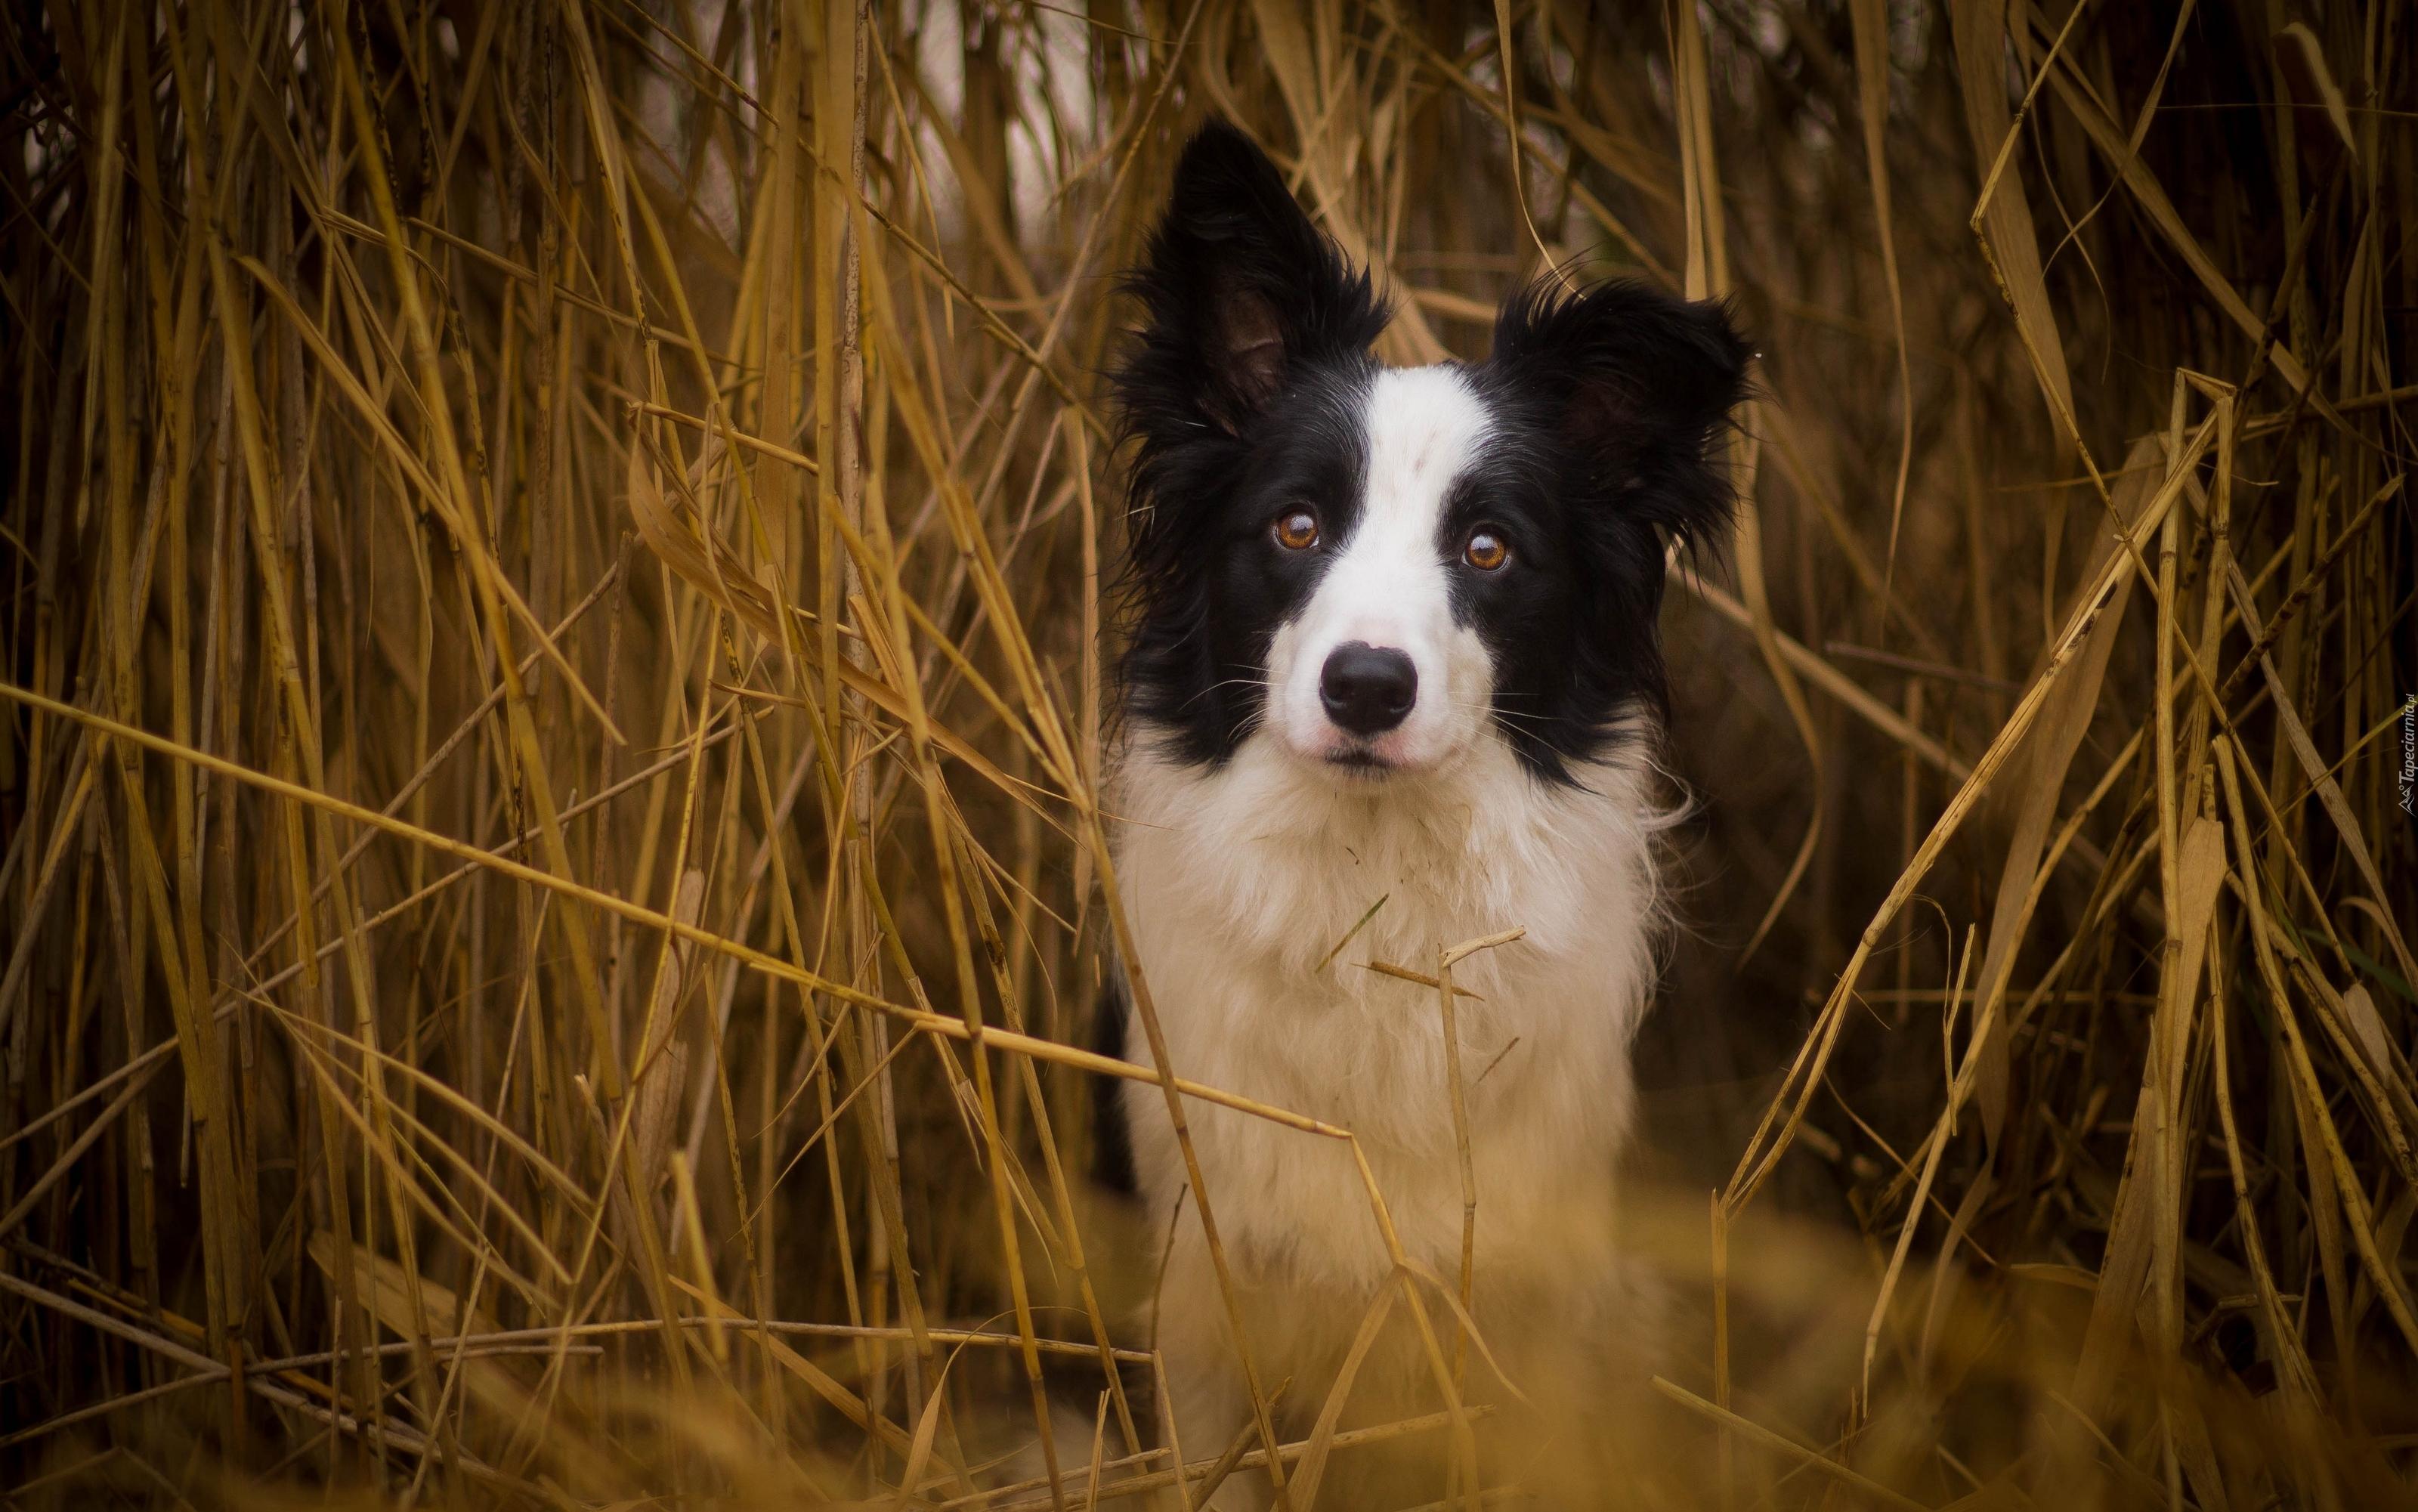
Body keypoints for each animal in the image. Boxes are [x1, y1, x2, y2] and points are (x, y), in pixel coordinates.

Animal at [1097, 127, 1741, 1499]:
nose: (1366, 686)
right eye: (1295, 526)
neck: (1380, 886)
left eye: (1489, 550)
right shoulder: (1206, 1297)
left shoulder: (1543, 1285)